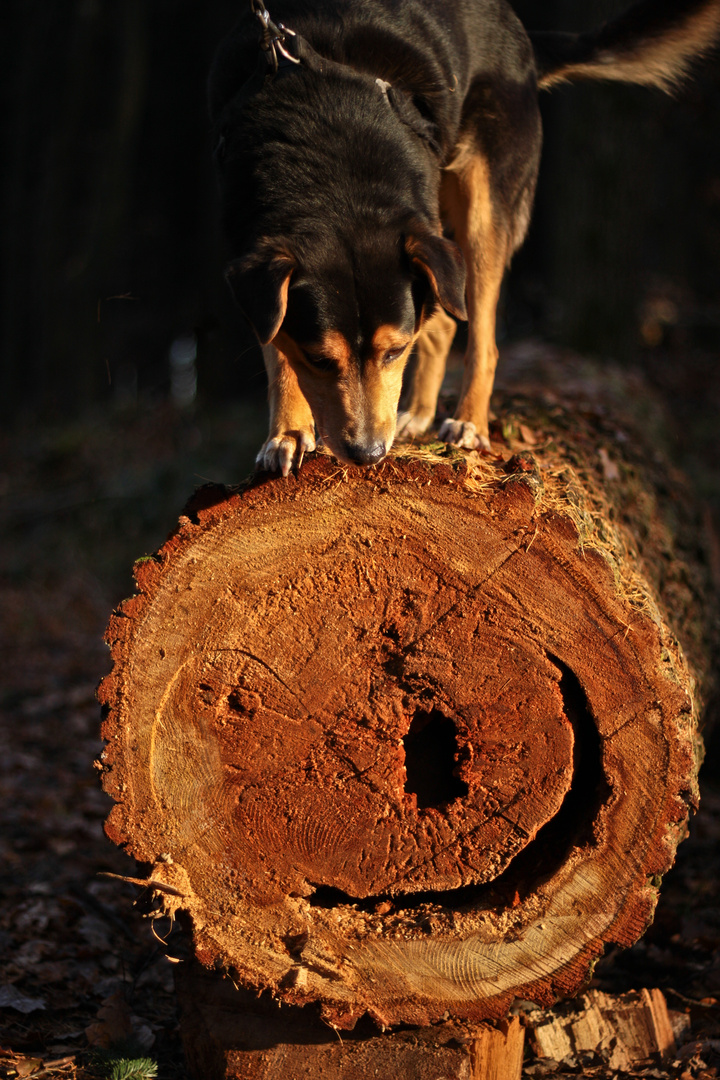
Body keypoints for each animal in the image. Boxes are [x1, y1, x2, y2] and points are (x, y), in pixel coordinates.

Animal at [208, 0, 720, 473]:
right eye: (318, 359)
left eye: (395, 351)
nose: (369, 454)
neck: (331, 172)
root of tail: (521, 35)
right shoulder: (255, 265)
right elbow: (278, 346)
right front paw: (287, 433)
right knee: (444, 324)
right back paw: (417, 414)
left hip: (483, 210)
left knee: (483, 337)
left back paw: (468, 421)